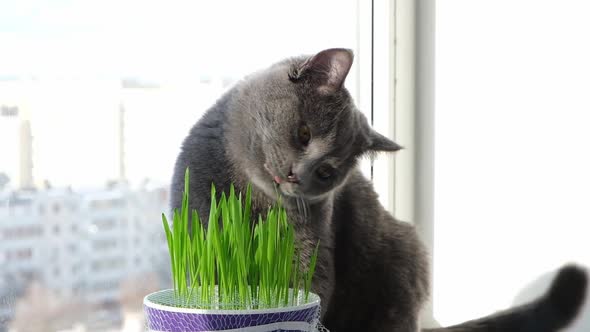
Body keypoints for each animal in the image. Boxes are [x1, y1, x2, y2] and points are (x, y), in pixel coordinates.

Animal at [170, 48, 588, 330]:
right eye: (303, 133)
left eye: (327, 172)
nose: (294, 176)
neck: (253, 199)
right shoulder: (196, 220)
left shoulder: (311, 247)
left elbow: (304, 288)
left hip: (403, 255)